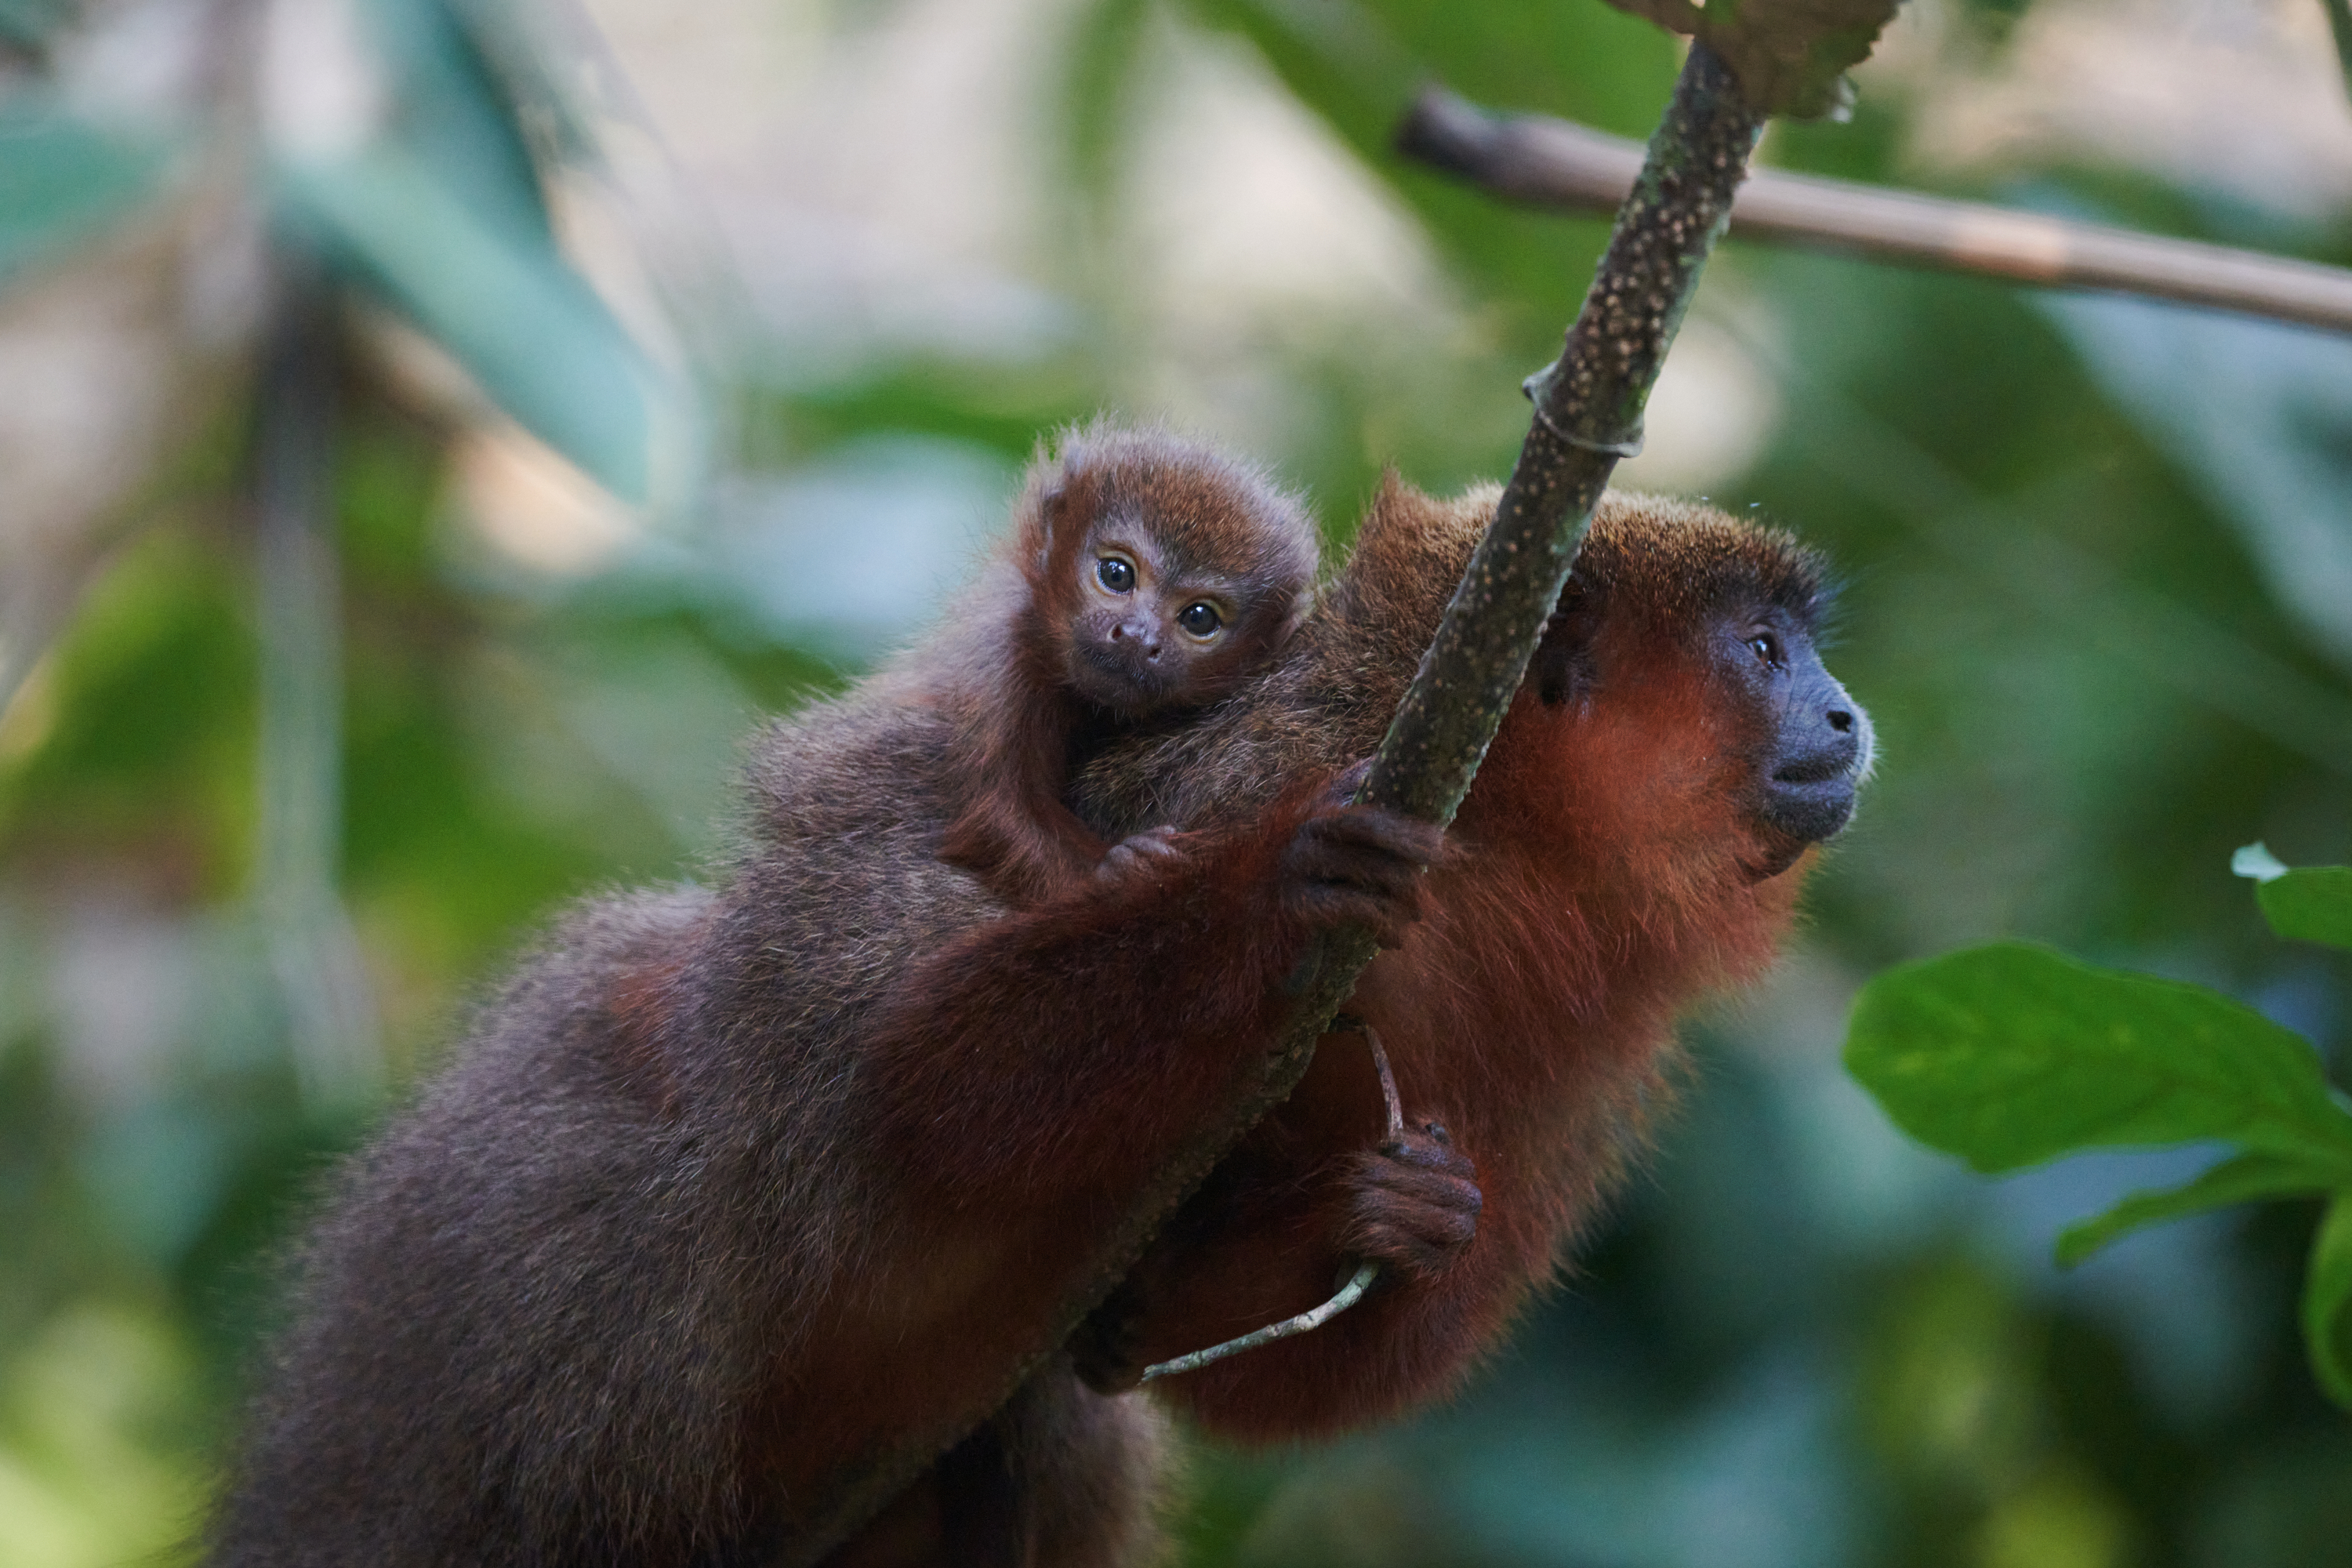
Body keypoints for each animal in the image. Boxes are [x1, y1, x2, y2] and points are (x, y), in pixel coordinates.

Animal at [931, 423, 1319, 903]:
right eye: (1116, 575)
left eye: (1199, 617)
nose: (1137, 636)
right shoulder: (1003, 663)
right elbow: (996, 813)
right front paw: (1114, 870)